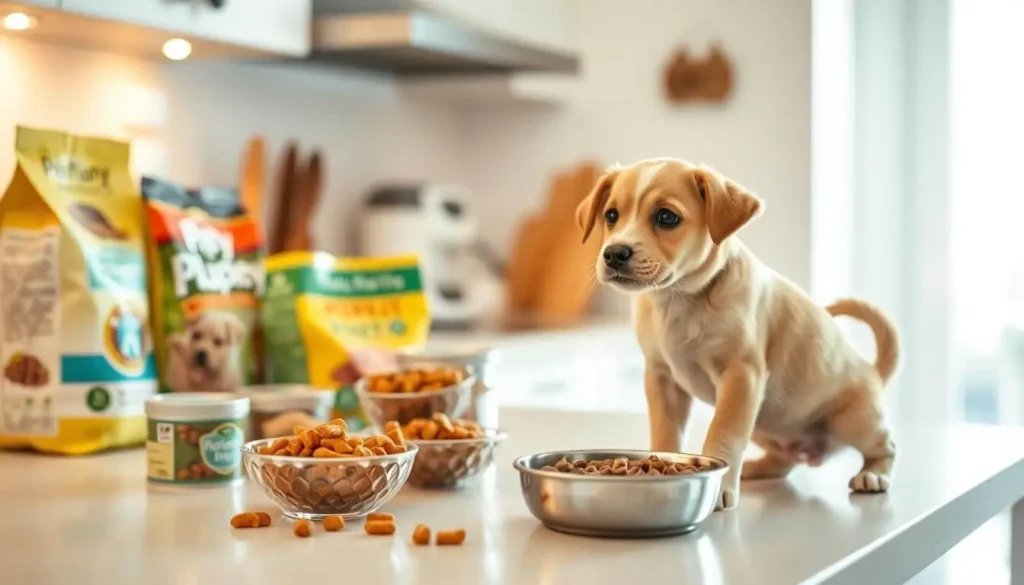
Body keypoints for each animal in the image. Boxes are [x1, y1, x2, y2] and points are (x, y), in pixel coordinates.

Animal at [581, 157, 901, 510]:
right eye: (611, 215)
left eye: (667, 217)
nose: (614, 253)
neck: (680, 302)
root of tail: (873, 372)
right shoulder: (662, 379)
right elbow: (666, 432)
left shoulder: (741, 376)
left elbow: (725, 433)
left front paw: (720, 487)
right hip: (765, 420)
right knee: (785, 460)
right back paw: (756, 468)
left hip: (853, 420)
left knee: (886, 446)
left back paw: (873, 475)